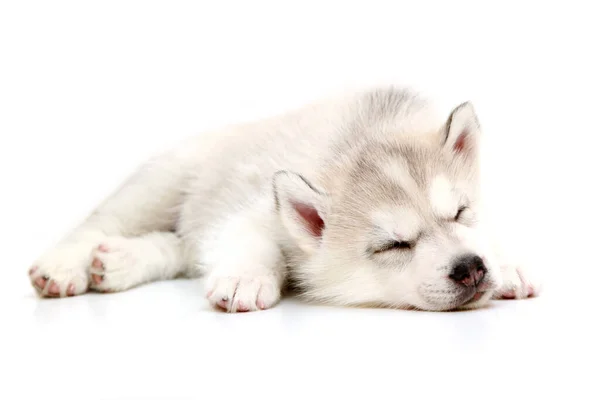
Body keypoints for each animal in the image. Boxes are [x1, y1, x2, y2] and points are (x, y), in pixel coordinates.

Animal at [27, 86, 540, 310]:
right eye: (394, 245)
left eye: (460, 212)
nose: (471, 267)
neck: (365, 135)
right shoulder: (255, 210)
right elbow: (255, 242)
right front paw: (246, 278)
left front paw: (508, 264)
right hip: (164, 180)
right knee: (102, 222)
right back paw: (66, 267)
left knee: (180, 247)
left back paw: (118, 262)